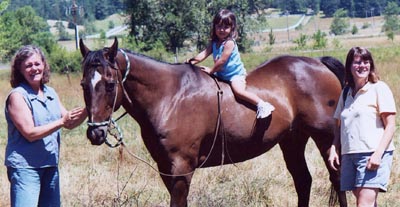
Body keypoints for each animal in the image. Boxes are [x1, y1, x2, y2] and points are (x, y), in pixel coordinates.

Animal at [79, 37, 346, 207]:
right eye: (83, 85)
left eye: (110, 84)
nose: (95, 133)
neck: (169, 96)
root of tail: (318, 63)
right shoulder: (166, 169)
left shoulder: (182, 169)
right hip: (292, 140)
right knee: (303, 181)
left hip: (325, 140)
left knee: (337, 178)